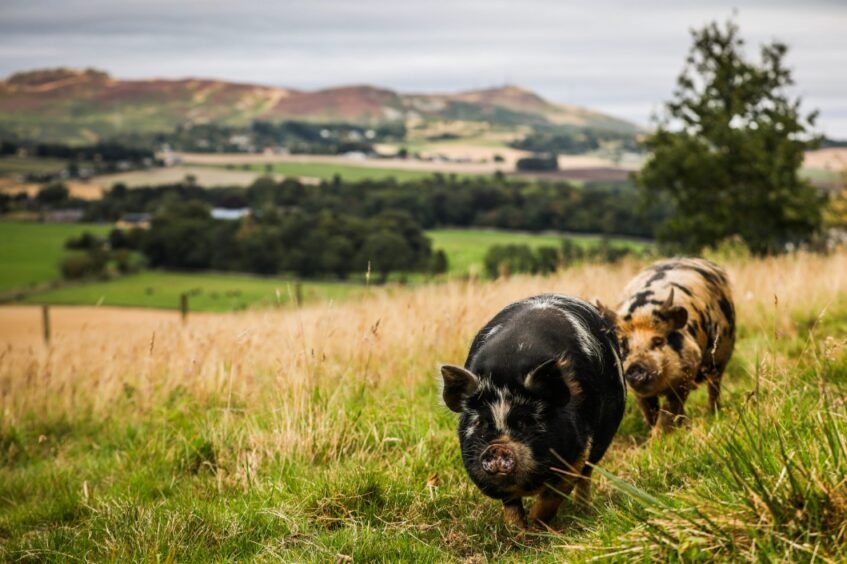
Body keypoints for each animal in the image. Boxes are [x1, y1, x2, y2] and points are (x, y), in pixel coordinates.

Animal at [440, 296, 628, 528]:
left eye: (526, 421)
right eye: (480, 423)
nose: (498, 447)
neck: (507, 367)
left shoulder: (577, 451)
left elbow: (552, 497)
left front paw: (537, 528)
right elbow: (511, 506)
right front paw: (518, 532)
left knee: (586, 475)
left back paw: (584, 511)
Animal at [600, 258, 732, 432]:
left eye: (658, 341)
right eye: (623, 346)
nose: (635, 368)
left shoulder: (687, 372)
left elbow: (669, 409)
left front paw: (659, 435)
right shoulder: (636, 391)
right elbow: (650, 411)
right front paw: (654, 433)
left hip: (721, 356)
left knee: (714, 387)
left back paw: (713, 412)